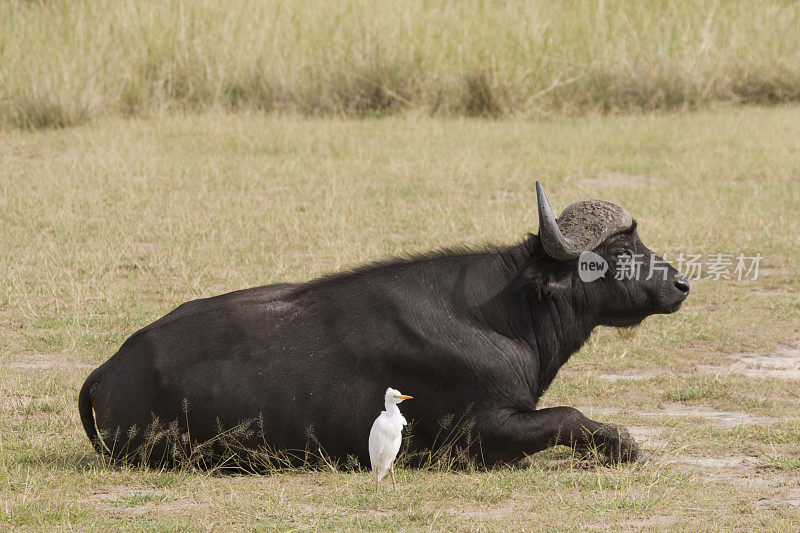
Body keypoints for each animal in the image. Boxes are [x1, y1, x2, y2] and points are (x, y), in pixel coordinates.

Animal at [81, 184, 688, 470]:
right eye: (618, 252)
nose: (680, 284)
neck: (504, 315)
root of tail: (110, 368)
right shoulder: (482, 431)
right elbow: (569, 416)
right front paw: (626, 446)